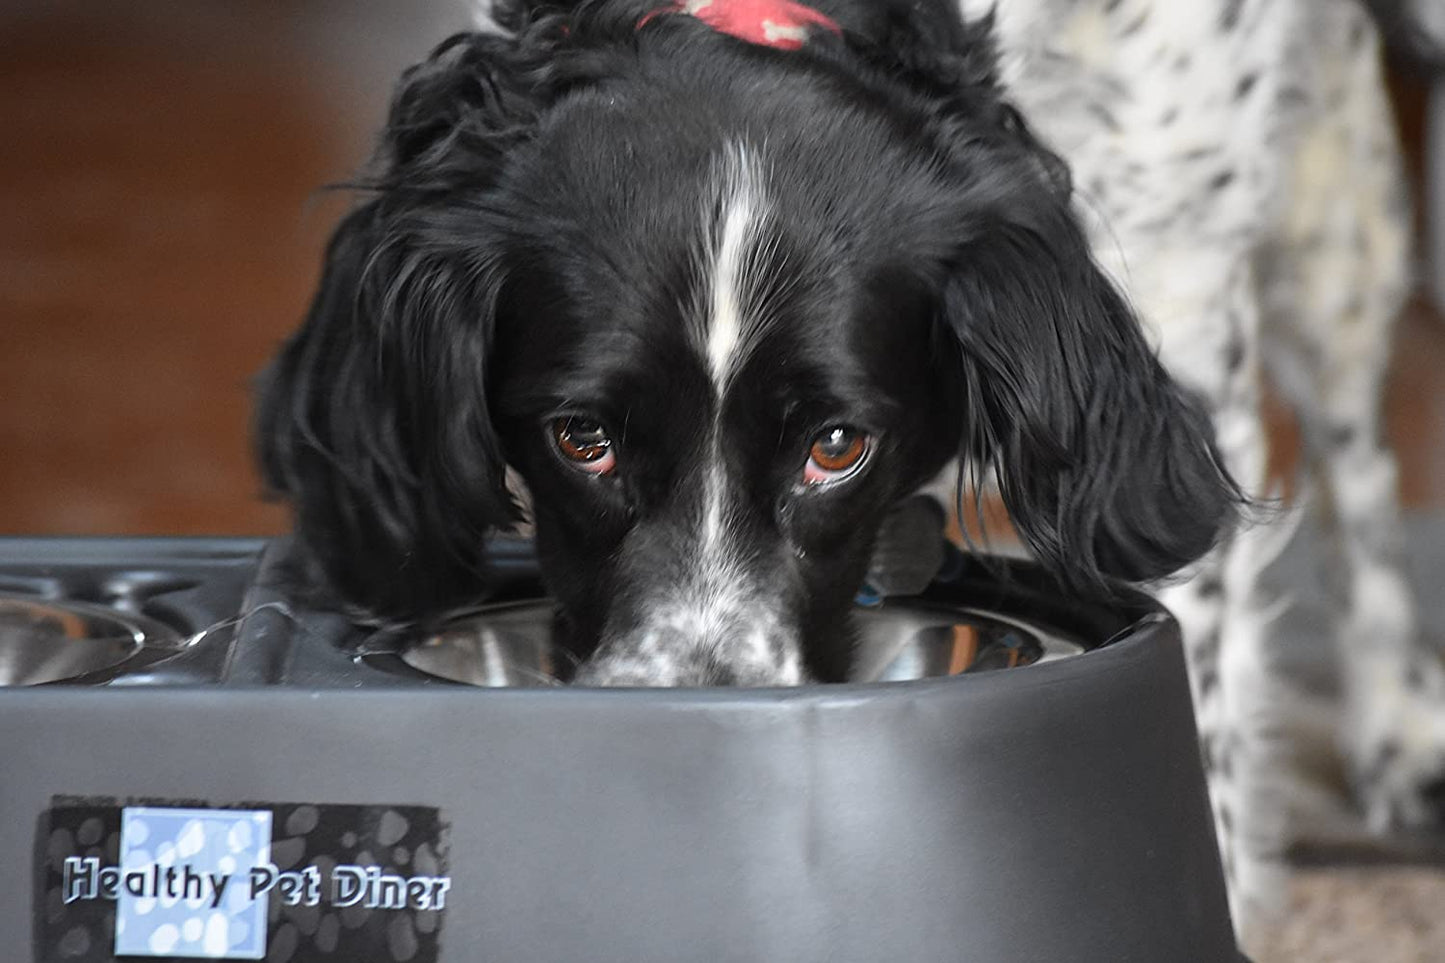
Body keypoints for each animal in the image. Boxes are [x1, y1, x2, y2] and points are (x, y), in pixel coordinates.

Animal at [260, 0, 1445, 931]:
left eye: (836, 448)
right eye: (580, 439)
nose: (693, 739)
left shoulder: (1185, 335)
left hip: (1332, 239)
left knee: (1360, 467)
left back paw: (1396, 731)